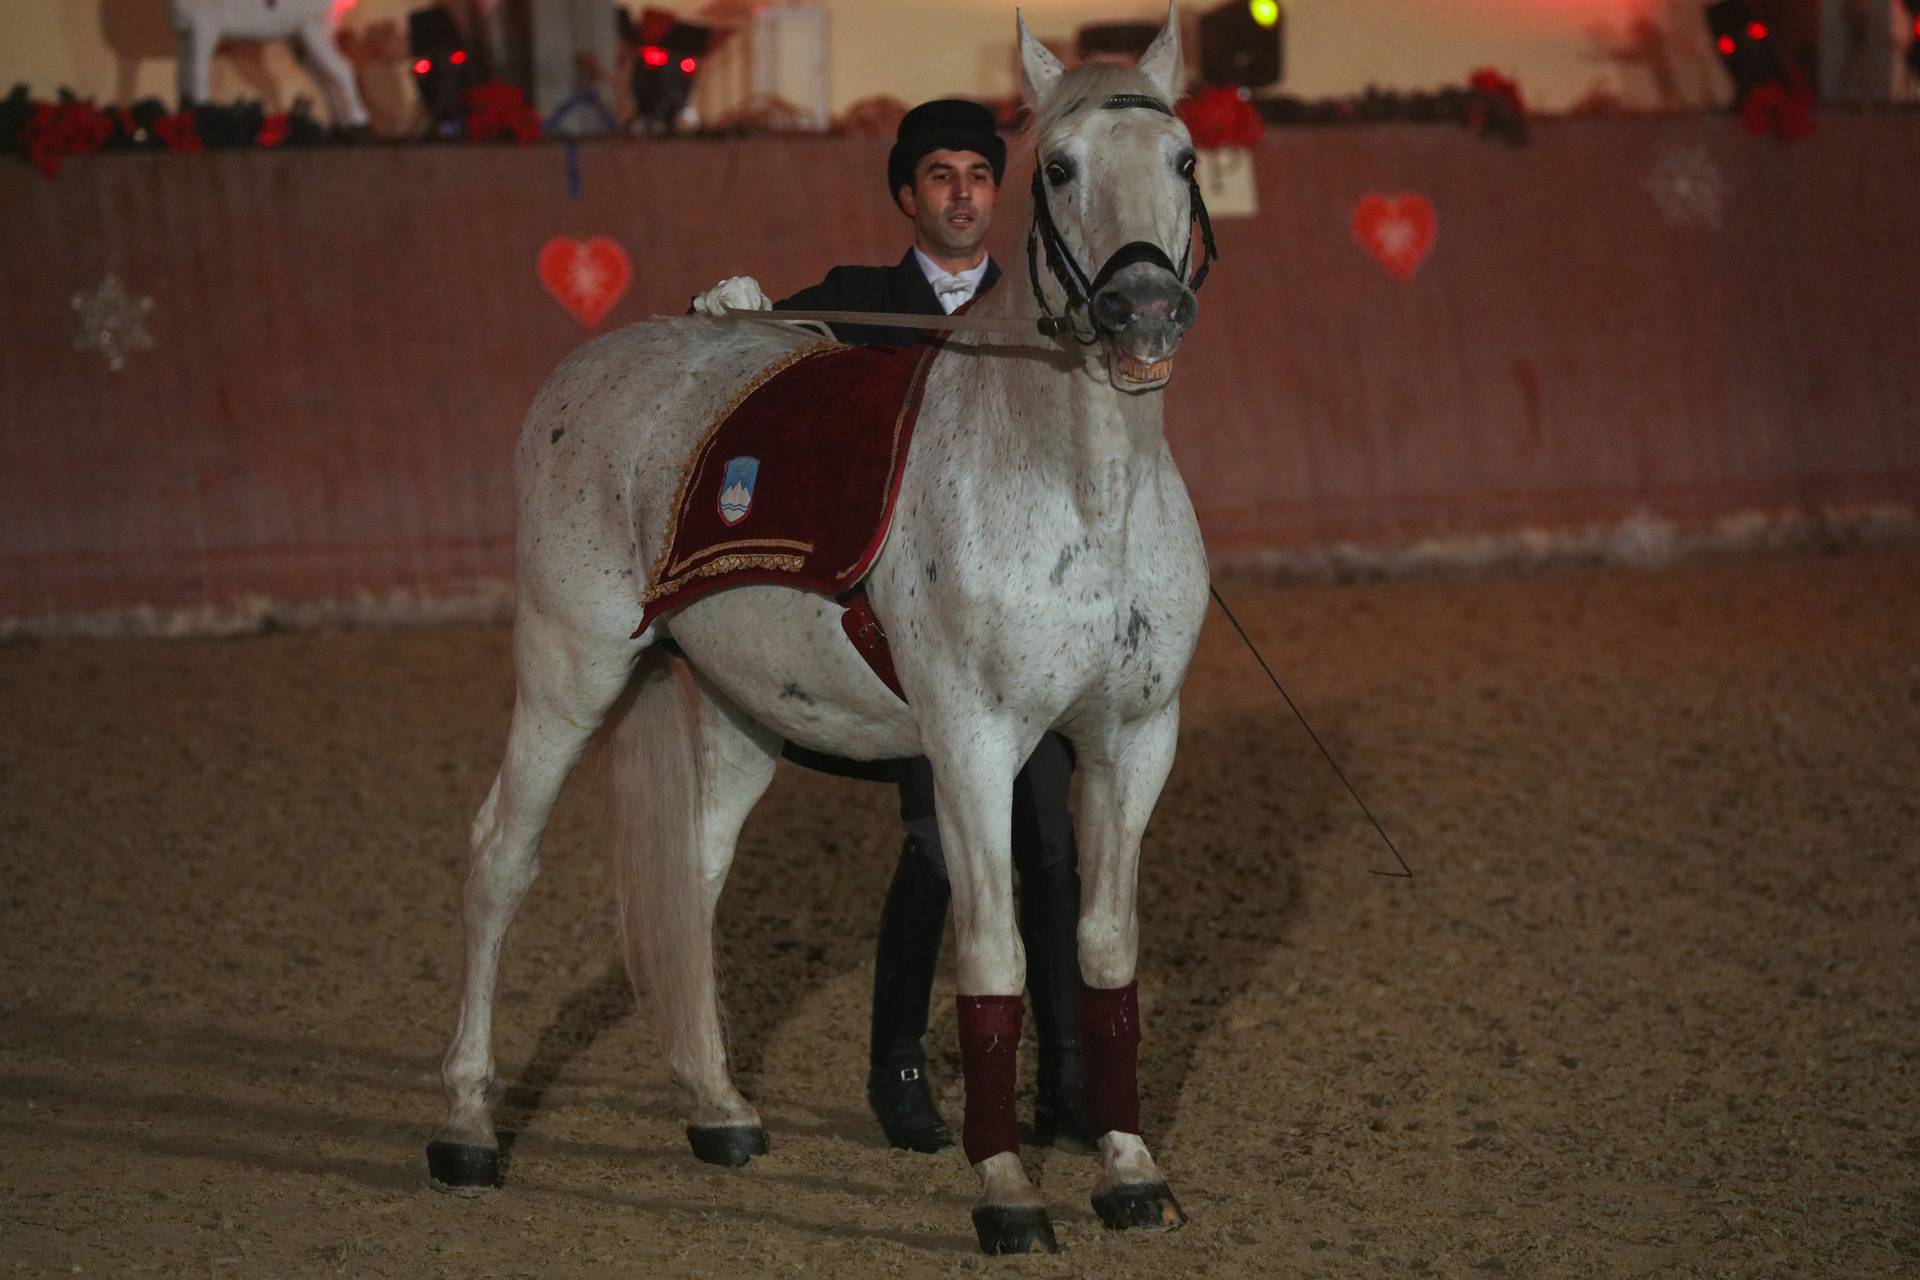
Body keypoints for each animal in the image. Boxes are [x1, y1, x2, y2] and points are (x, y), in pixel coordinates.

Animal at [170, 0, 372, 126]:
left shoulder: (205, 29)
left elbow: (199, 70)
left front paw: (200, 111)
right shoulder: (183, 38)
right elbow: (181, 77)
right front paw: (182, 113)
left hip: (314, 33)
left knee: (343, 69)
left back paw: (359, 119)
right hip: (301, 45)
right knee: (325, 80)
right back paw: (340, 123)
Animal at [432, 5, 1213, 1258]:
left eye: (1185, 162)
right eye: (1057, 166)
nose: (1143, 312)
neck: (1079, 488)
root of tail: (590, 364)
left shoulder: (1135, 738)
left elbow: (1103, 948)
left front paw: (1130, 1168)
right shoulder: (974, 743)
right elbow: (990, 952)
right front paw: (1006, 1186)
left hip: (740, 712)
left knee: (692, 879)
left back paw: (719, 1110)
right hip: (568, 666)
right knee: (502, 853)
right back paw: (463, 1125)